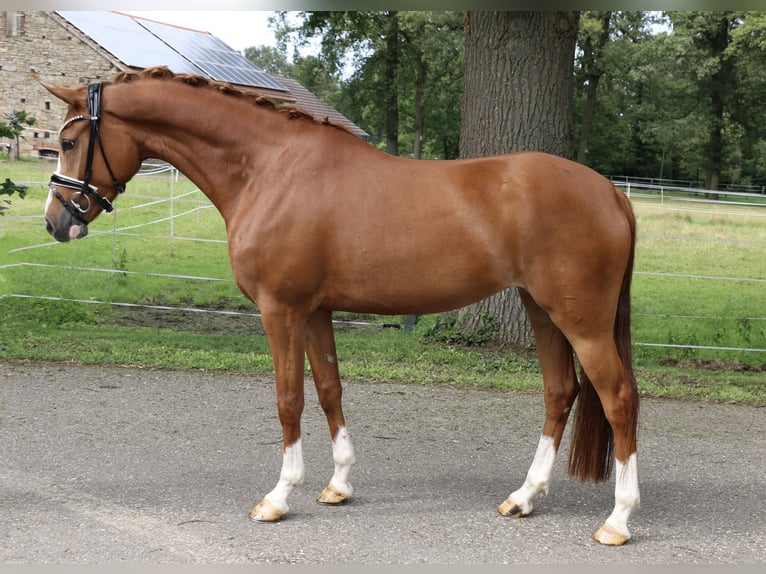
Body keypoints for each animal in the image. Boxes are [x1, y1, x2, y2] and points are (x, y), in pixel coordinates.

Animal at [43, 67, 640, 544]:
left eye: (69, 141)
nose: (55, 222)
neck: (270, 169)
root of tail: (611, 192)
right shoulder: (315, 311)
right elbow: (329, 389)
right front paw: (338, 485)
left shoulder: (280, 310)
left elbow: (289, 399)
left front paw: (279, 497)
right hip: (542, 311)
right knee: (560, 393)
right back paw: (524, 497)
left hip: (582, 322)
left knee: (618, 399)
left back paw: (617, 520)